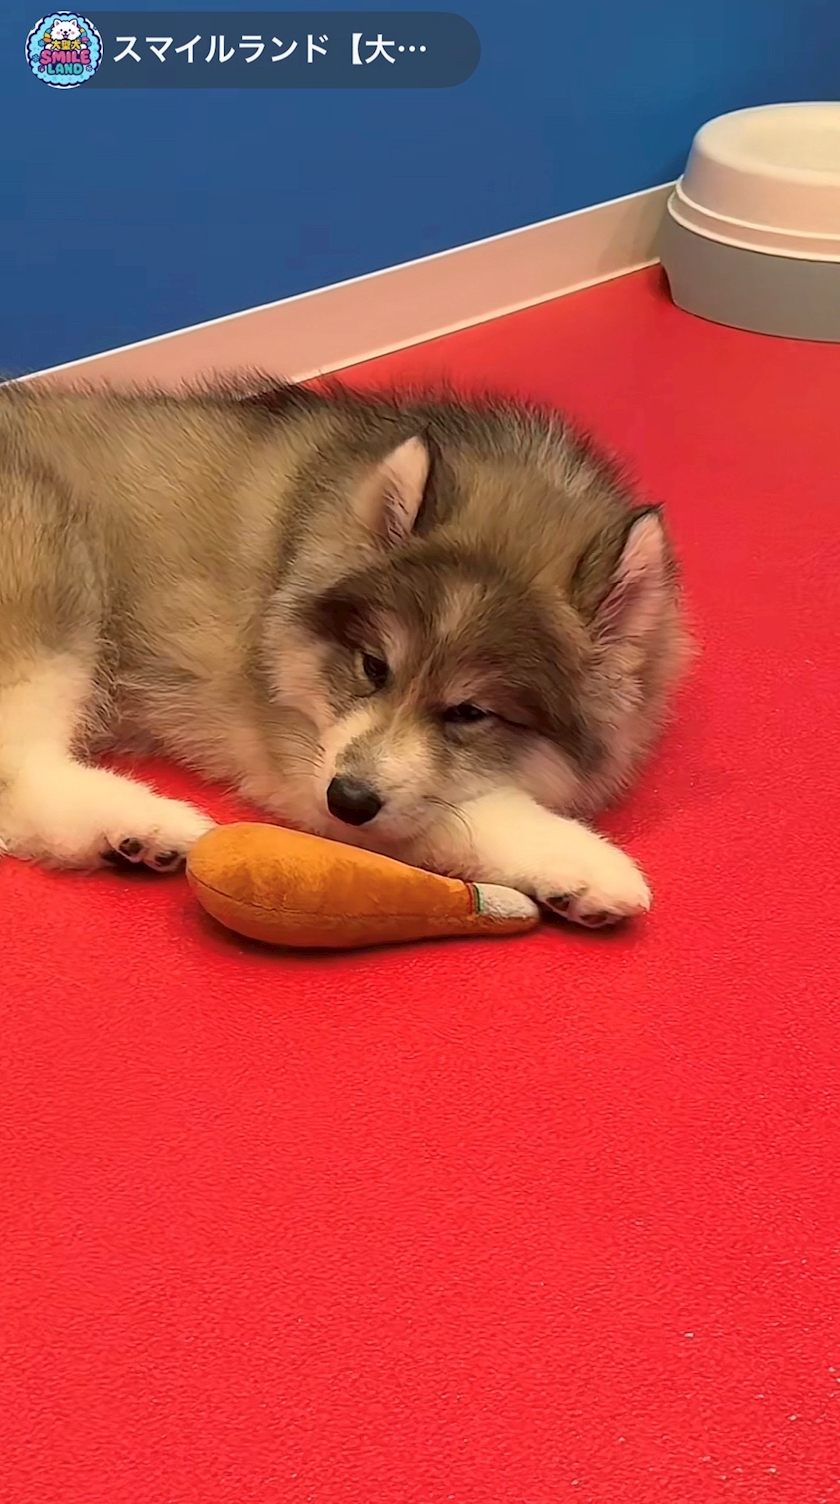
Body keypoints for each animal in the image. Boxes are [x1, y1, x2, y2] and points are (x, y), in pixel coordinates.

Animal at [0, 376, 689, 926]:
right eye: (373, 666)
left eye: (470, 712)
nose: (349, 800)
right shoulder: (300, 755)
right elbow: (466, 811)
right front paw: (583, 861)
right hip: (47, 548)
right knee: (19, 768)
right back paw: (143, 821)